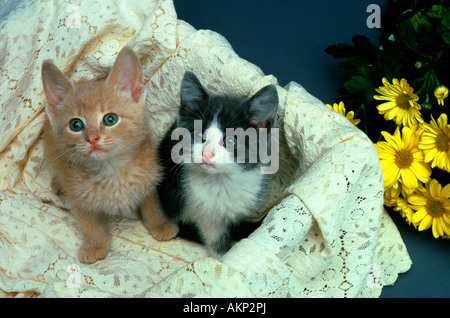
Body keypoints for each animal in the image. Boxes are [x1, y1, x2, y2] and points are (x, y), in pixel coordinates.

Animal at [40, 46, 178, 264]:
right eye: (76, 125)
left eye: (110, 119)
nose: (92, 138)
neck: (112, 169)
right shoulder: (77, 195)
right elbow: (88, 222)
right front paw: (95, 244)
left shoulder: (149, 175)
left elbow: (151, 202)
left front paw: (159, 224)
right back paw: (56, 183)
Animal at [157, 71, 278, 256]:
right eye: (200, 135)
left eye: (232, 140)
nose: (207, 153)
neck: (222, 180)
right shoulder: (201, 212)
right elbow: (215, 239)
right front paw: (222, 258)